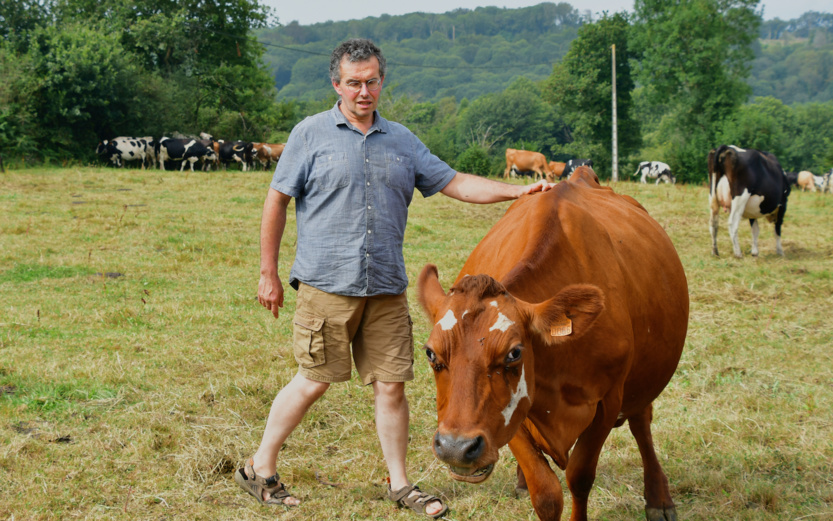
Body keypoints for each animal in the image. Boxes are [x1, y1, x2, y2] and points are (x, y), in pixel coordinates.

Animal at [416, 168, 688, 520]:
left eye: (514, 353)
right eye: (430, 353)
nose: (456, 447)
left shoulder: (608, 401)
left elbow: (579, 476)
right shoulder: (513, 415)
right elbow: (544, 491)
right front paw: (531, 483)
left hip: (643, 378)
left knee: (642, 424)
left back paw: (659, 498)